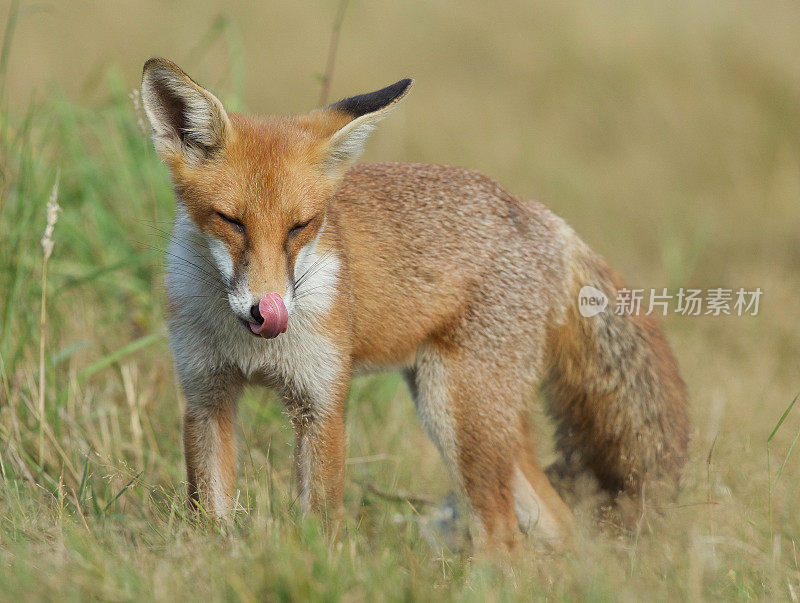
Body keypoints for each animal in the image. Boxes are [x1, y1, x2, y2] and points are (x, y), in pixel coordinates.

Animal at [139, 57, 688, 552]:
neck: (251, 350)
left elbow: (321, 523)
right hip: (455, 411)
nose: (267, 310)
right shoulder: (206, 394)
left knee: (503, 537)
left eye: (301, 226)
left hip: (460, 416)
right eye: (231, 221)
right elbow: (209, 515)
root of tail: (543, 218)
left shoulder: (321, 402)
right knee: (556, 525)